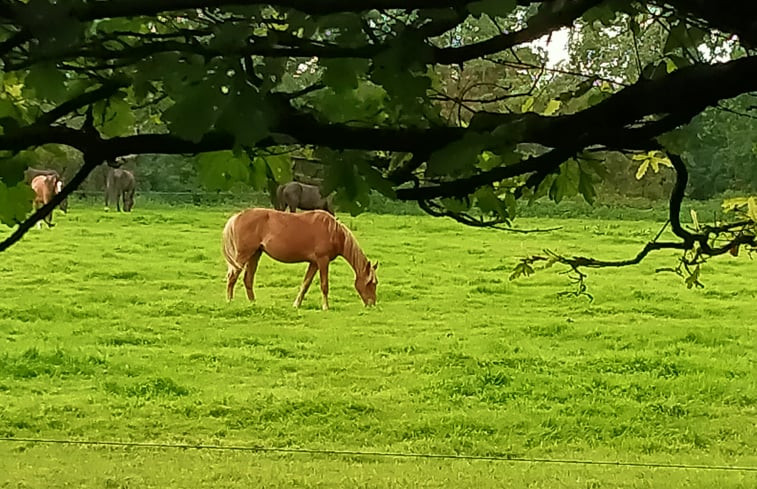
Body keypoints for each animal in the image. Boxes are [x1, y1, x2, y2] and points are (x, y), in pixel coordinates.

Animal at [223, 207, 378, 308]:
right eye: (372, 283)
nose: (372, 304)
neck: (333, 231)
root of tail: (237, 216)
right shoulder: (323, 260)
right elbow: (324, 285)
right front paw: (325, 307)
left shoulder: (314, 263)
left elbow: (305, 284)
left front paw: (296, 304)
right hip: (243, 255)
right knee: (232, 277)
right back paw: (230, 301)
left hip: (255, 254)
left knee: (248, 279)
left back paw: (253, 303)